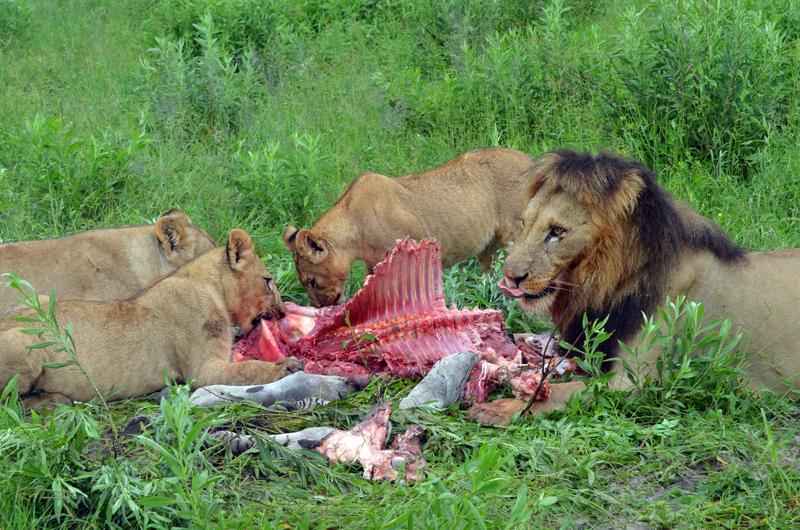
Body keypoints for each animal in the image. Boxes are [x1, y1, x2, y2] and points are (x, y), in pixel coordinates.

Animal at [0, 227, 304, 404]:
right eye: (268, 281)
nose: (283, 311)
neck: (209, 286)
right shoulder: (203, 371)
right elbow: (248, 369)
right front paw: (288, 366)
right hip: (25, 343)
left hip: (38, 299)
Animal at [284, 148, 536, 306]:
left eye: (312, 281)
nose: (319, 307)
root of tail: (530, 160)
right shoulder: (373, 263)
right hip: (488, 247)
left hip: (515, 234)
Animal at [468, 150, 800, 424]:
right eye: (524, 224)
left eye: (558, 231)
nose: (510, 277)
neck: (599, 285)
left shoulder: (633, 383)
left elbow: (565, 390)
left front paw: (500, 408)